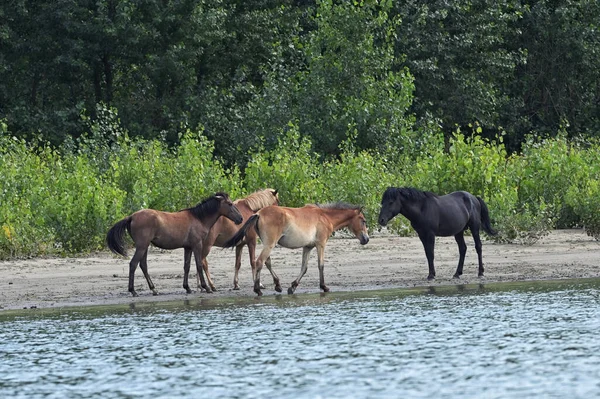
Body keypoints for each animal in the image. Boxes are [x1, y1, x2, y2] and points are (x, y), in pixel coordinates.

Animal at [106, 194, 243, 296]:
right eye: (230, 204)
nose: (240, 219)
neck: (199, 218)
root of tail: (131, 217)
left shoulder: (188, 247)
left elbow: (186, 266)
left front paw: (187, 288)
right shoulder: (197, 245)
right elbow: (199, 265)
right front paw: (206, 288)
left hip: (144, 247)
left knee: (143, 265)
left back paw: (154, 289)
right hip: (141, 246)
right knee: (133, 264)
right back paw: (133, 291)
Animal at [223, 203, 368, 296]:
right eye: (363, 220)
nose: (366, 239)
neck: (325, 216)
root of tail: (258, 213)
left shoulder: (307, 247)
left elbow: (304, 268)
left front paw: (292, 287)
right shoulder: (320, 244)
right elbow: (320, 265)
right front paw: (324, 287)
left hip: (267, 244)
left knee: (267, 262)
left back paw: (277, 286)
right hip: (269, 244)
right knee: (259, 262)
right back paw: (258, 290)